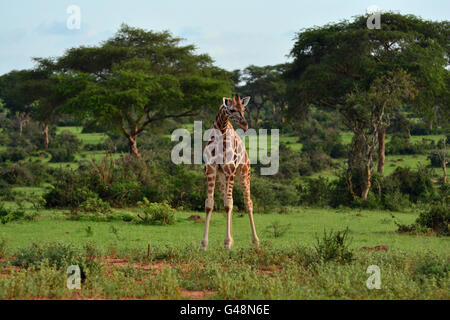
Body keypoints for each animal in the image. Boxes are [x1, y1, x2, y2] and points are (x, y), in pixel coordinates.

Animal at [201, 95, 260, 250]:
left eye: (244, 109)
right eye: (232, 109)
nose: (245, 125)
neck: (221, 131)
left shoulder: (230, 169)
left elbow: (229, 204)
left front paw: (227, 243)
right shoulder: (211, 169)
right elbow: (210, 204)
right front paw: (204, 244)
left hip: (244, 173)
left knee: (247, 203)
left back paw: (256, 241)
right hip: (222, 177)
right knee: (228, 202)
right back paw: (233, 240)